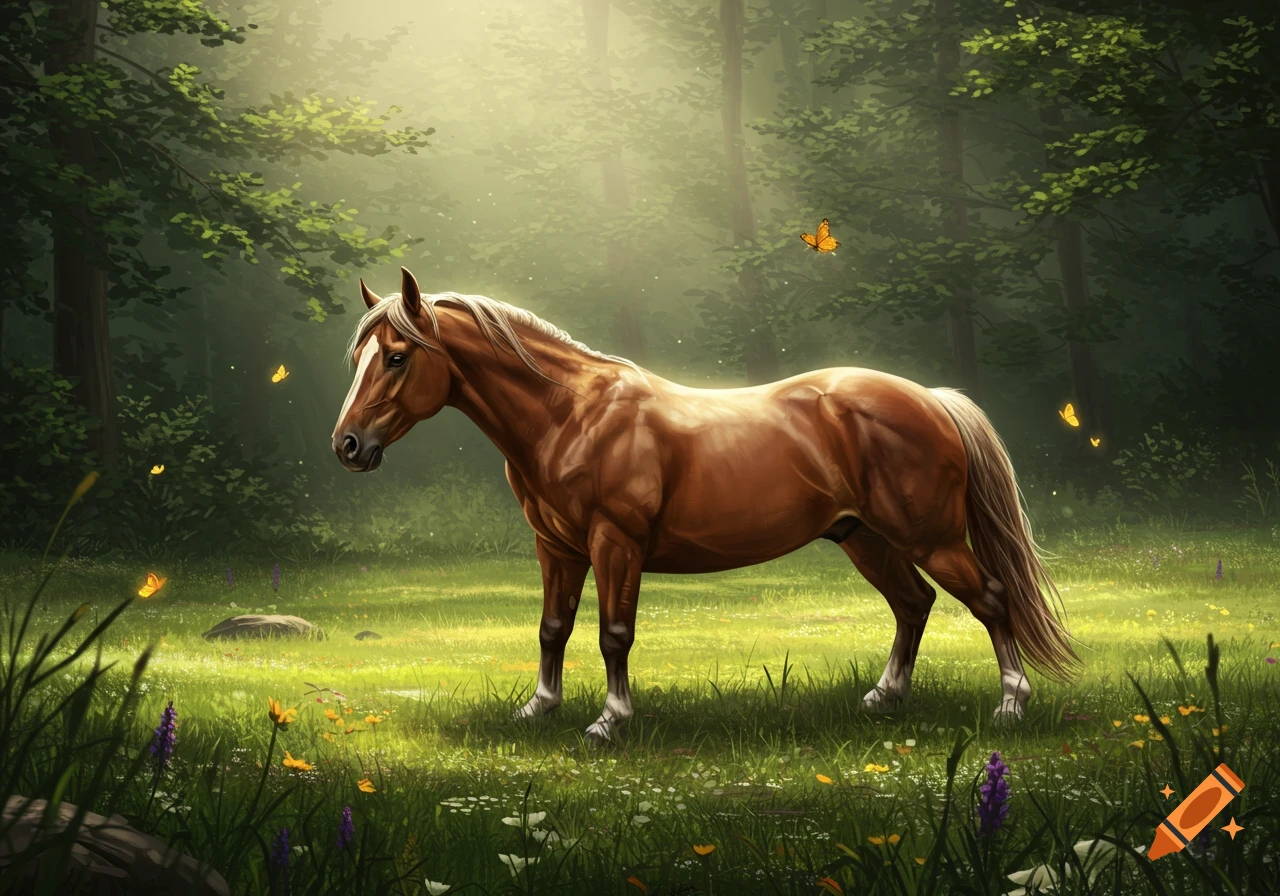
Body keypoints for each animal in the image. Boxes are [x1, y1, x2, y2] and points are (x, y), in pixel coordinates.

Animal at [332, 267, 1078, 743]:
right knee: (913, 603)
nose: (348, 445)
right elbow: (552, 629)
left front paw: (609, 722)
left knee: (988, 597)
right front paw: (539, 710)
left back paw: (1010, 707)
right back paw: (884, 698)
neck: (574, 415)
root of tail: (929, 399)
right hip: (864, 537)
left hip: (930, 538)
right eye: (357, 357)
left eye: (396, 356)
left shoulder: (615, 544)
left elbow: (613, 633)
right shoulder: (558, 548)